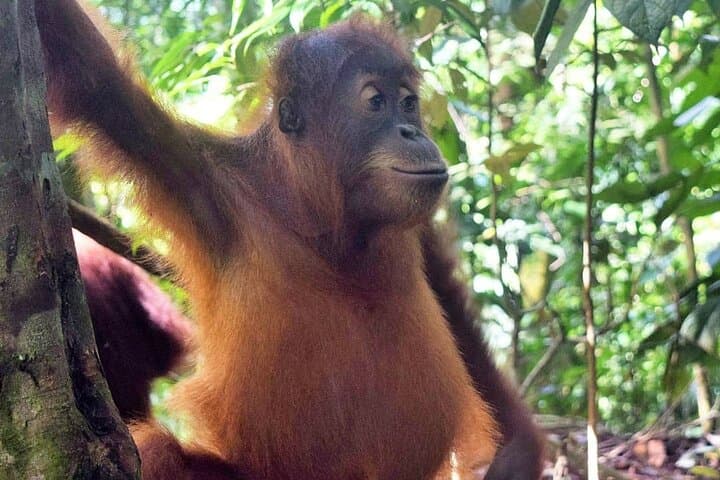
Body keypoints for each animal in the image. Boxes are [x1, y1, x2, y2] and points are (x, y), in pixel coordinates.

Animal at [35, 1, 542, 478]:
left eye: (408, 103)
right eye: (376, 102)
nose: (413, 132)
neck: (319, 219)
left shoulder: (419, 229)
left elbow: (455, 313)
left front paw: (519, 455)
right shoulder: (191, 169)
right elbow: (91, 78)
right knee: (161, 454)